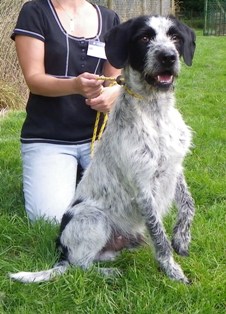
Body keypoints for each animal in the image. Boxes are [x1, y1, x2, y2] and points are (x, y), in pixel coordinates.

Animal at [9, 14, 195, 284]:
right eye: (144, 38)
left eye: (175, 37)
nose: (168, 57)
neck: (155, 111)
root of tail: (62, 251)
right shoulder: (143, 186)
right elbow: (159, 237)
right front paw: (173, 272)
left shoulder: (175, 165)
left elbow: (188, 205)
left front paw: (182, 238)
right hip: (94, 218)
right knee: (79, 265)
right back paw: (109, 273)